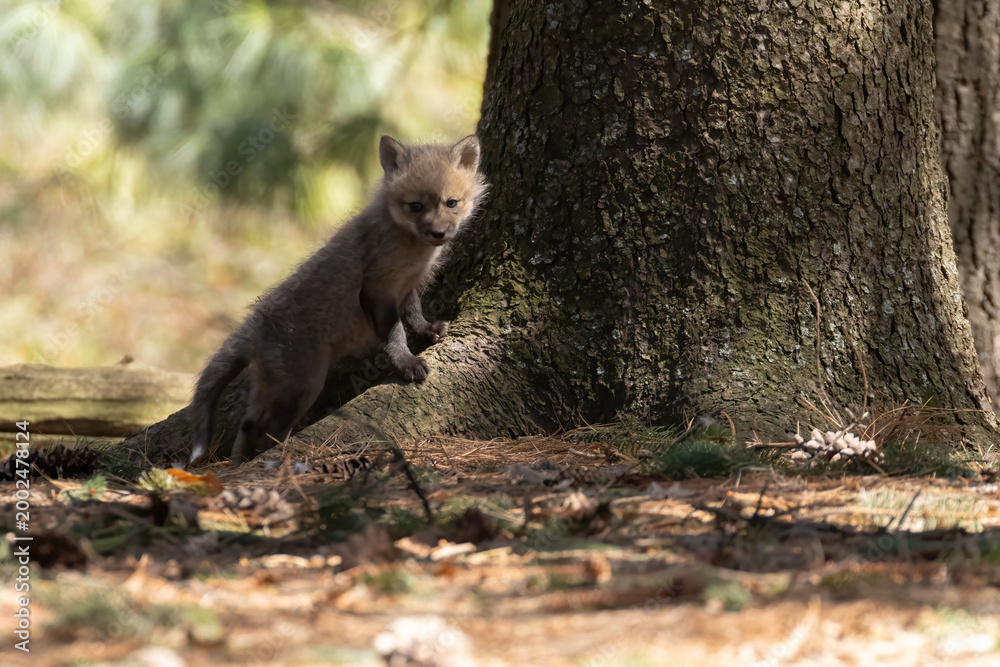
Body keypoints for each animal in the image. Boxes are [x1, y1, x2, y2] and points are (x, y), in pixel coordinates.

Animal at [188, 134, 487, 466]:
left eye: (451, 203)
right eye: (416, 206)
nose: (438, 233)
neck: (409, 247)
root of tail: (257, 324)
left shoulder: (406, 287)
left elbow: (413, 314)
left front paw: (427, 331)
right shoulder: (376, 289)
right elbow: (395, 332)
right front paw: (406, 362)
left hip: (275, 389)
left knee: (247, 428)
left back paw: (241, 464)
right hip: (302, 389)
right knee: (265, 430)